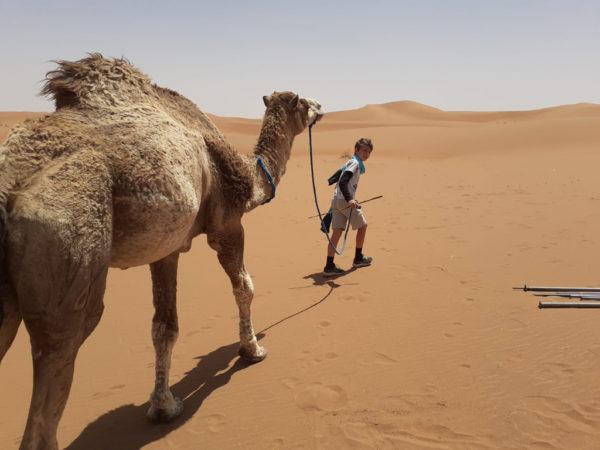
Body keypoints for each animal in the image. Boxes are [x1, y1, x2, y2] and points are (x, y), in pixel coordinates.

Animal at [0, 55, 324, 450]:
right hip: (68, 237)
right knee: (60, 344)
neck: (250, 179)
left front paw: (163, 406)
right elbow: (244, 287)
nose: (322, 106)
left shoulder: (166, 249)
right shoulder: (227, 224)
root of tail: (10, 179)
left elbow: (164, 326)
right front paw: (251, 350)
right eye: (303, 102)